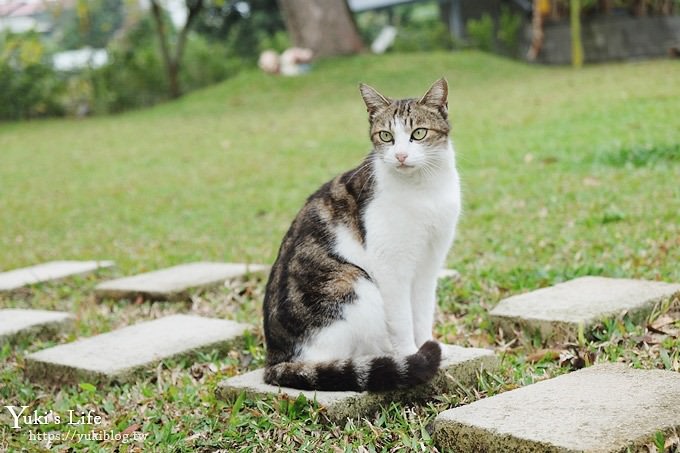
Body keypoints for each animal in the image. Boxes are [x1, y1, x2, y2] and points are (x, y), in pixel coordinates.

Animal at [262, 78, 462, 392]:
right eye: (386, 136)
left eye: (418, 133)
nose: (400, 155)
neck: (424, 189)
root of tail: (275, 359)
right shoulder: (391, 268)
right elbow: (402, 319)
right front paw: (411, 354)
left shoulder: (429, 264)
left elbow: (422, 313)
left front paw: (429, 345)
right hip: (355, 284)